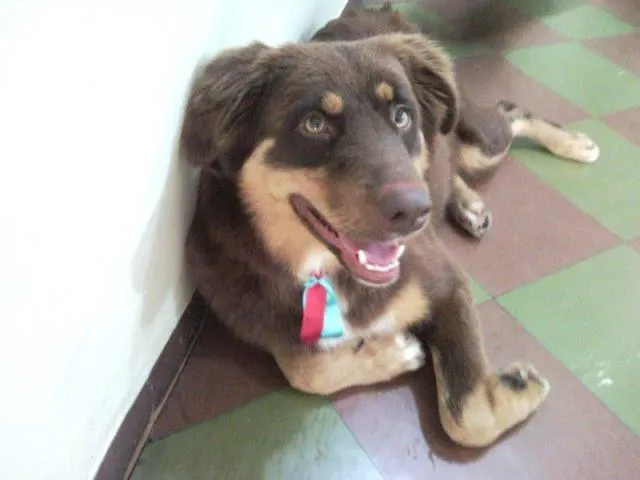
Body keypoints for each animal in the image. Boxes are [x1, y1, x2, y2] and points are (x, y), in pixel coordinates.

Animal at [180, 5, 599, 447]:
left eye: (401, 116)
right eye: (314, 123)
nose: (415, 212)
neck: (323, 272)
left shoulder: (446, 283)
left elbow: (467, 417)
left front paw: (520, 386)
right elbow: (307, 371)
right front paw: (393, 351)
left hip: (478, 140)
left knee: (508, 111)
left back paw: (572, 145)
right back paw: (466, 203)